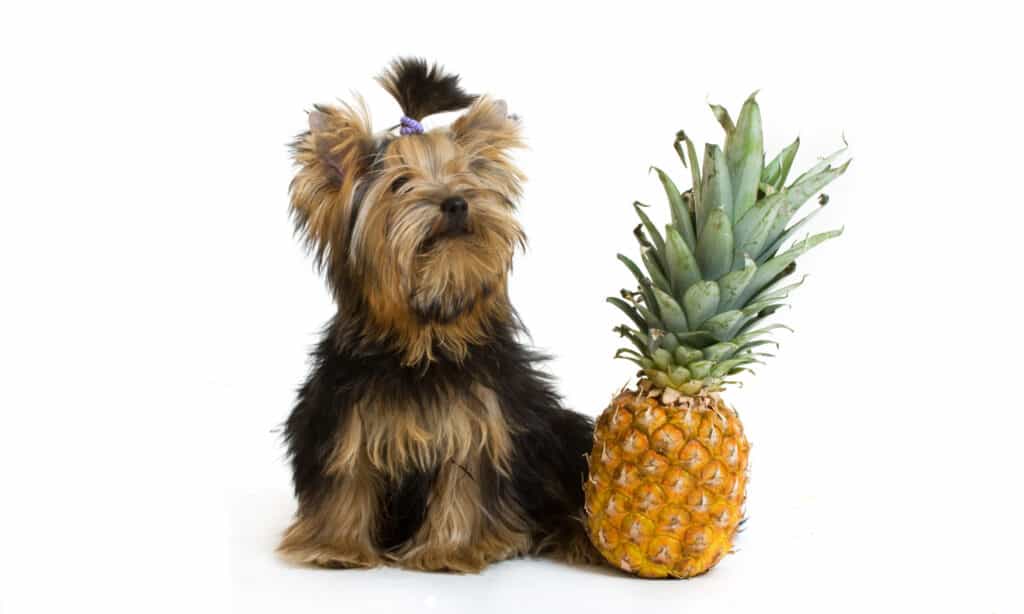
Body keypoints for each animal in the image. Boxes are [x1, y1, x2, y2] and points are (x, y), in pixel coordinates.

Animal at [280, 58, 598, 568]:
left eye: (466, 176)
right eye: (399, 184)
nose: (456, 201)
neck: (423, 338)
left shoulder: (480, 422)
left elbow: (464, 484)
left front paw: (451, 550)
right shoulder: (344, 418)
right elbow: (346, 477)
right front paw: (337, 546)